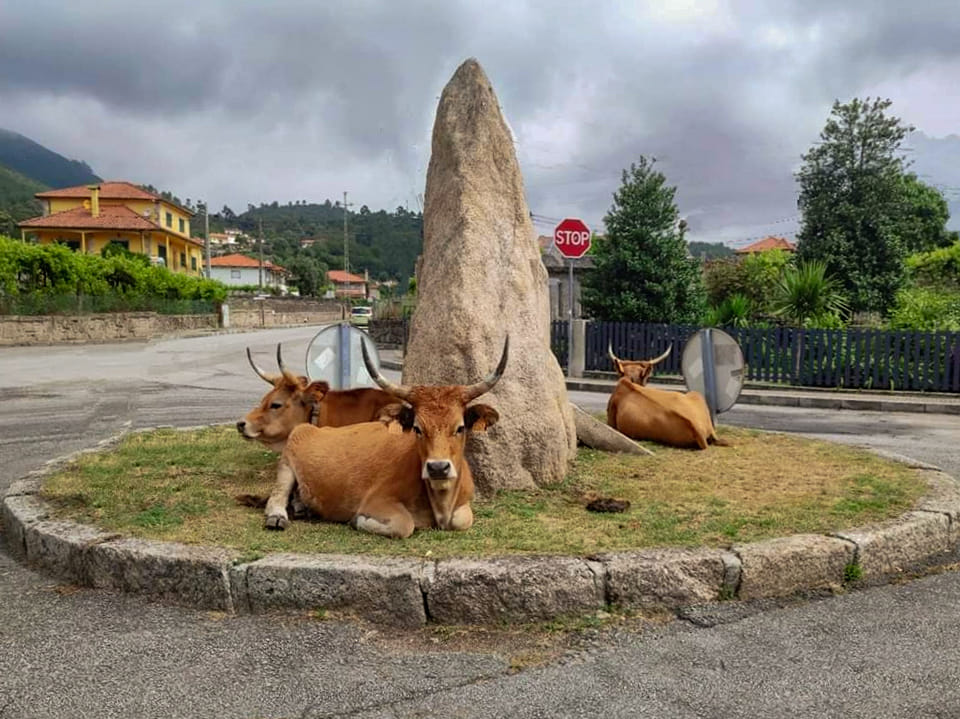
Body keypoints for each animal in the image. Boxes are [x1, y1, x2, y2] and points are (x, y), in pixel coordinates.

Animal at [262, 337, 508, 538]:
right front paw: (358, 521)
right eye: (417, 428)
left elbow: (462, 520)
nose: (438, 467)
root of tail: (311, 428)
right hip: (286, 463)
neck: (441, 505)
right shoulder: (377, 501)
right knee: (277, 495)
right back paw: (277, 517)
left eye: (460, 428)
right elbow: (404, 525)